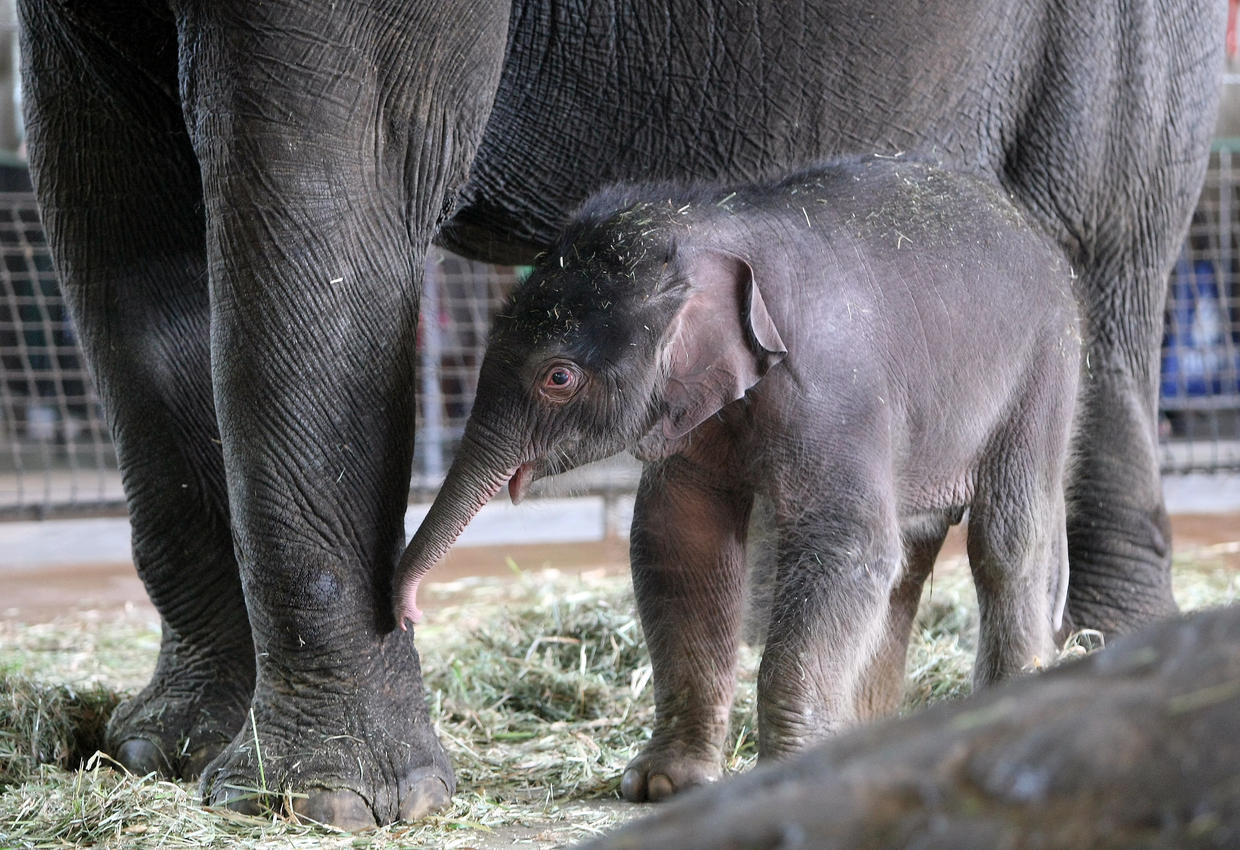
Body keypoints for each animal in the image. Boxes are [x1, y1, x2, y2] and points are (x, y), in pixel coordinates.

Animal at [394, 155, 1076, 799]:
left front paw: (788, 772)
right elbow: (682, 542)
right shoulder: (694, 418)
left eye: (558, 377)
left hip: (1043, 369)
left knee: (1004, 535)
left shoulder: (834, 392)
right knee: (907, 558)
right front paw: (662, 786)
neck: (711, 227)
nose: (407, 614)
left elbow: (844, 545)